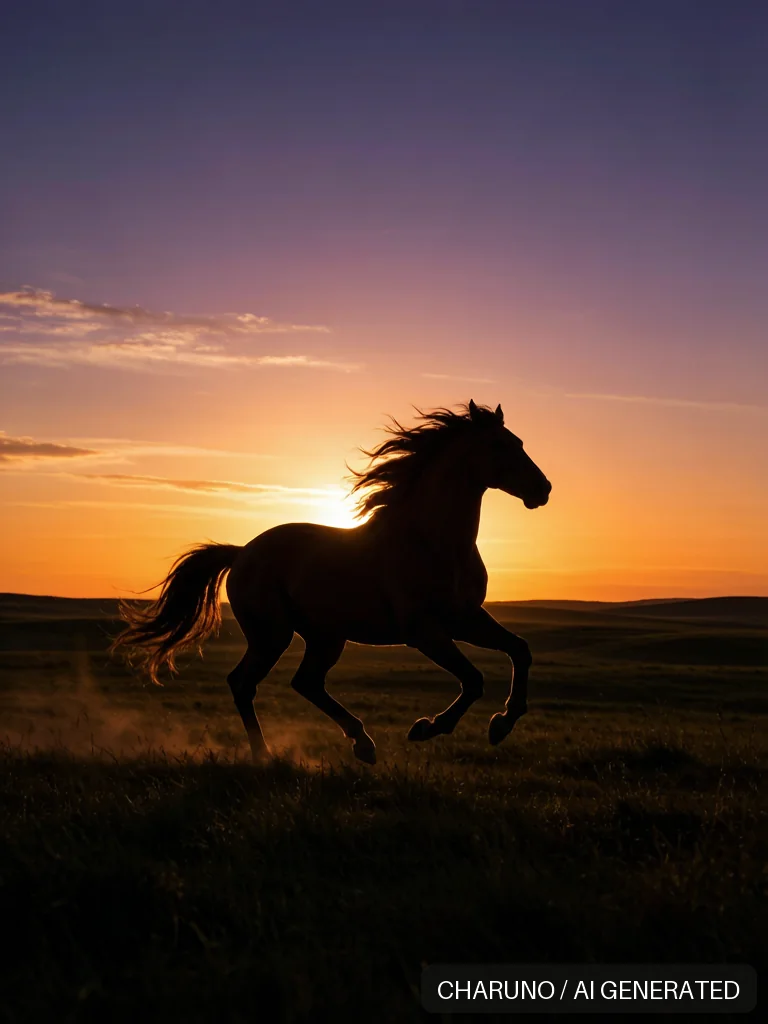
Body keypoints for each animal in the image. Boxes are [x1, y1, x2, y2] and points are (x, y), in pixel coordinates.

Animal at [111, 400, 552, 764]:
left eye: (519, 442)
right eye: (499, 445)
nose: (543, 489)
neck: (432, 542)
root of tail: (242, 553)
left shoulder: (465, 618)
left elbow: (520, 650)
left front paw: (502, 723)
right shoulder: (425, 631)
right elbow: (474, 680)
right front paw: (427, 728)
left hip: (325, 637)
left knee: (305, 682)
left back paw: (362, 744)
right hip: (273, 635)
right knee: (244, 683)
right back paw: (267, 754)